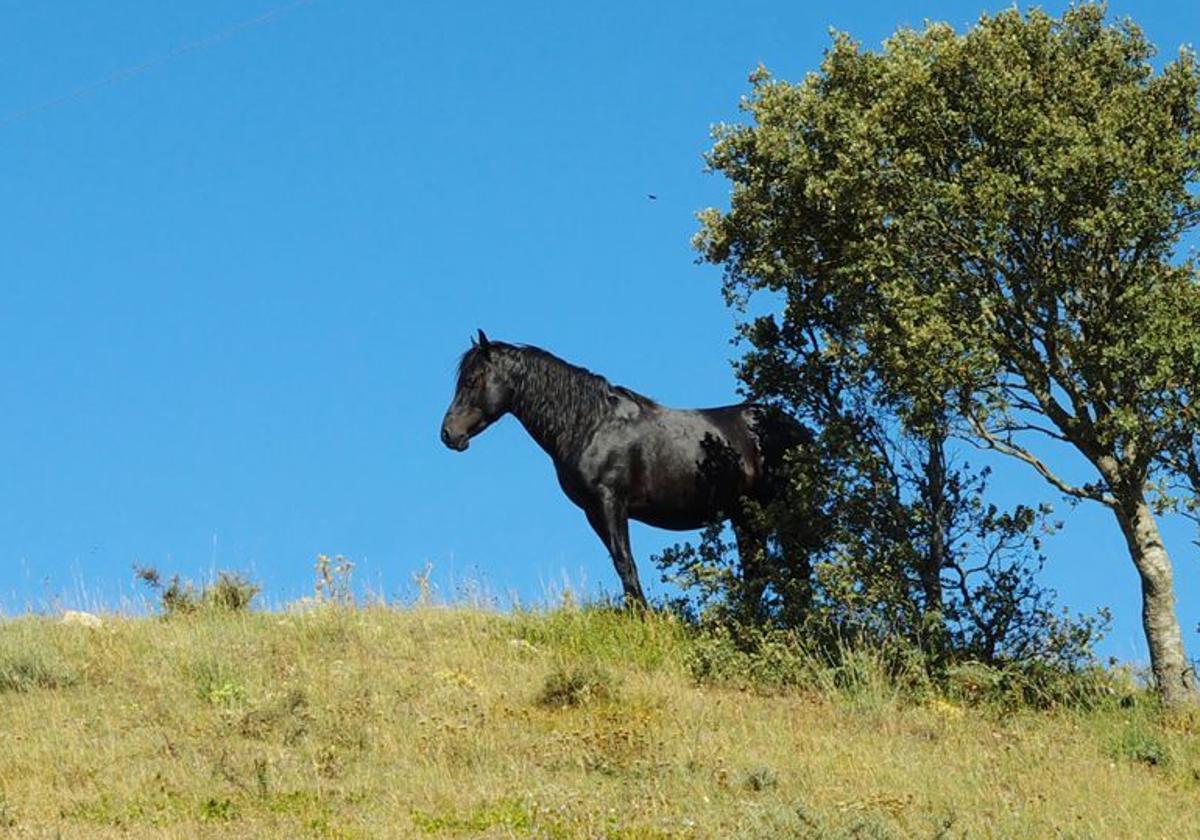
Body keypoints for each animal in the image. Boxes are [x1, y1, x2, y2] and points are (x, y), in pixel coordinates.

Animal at [436, 331, 811, 607]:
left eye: (472, 380)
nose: (448, 434)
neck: (590, 425)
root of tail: (795, 429)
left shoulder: (610, 502)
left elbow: (624, 561)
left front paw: (642, 618)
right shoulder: (593, 511)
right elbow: (620, 562)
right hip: (746, 516)